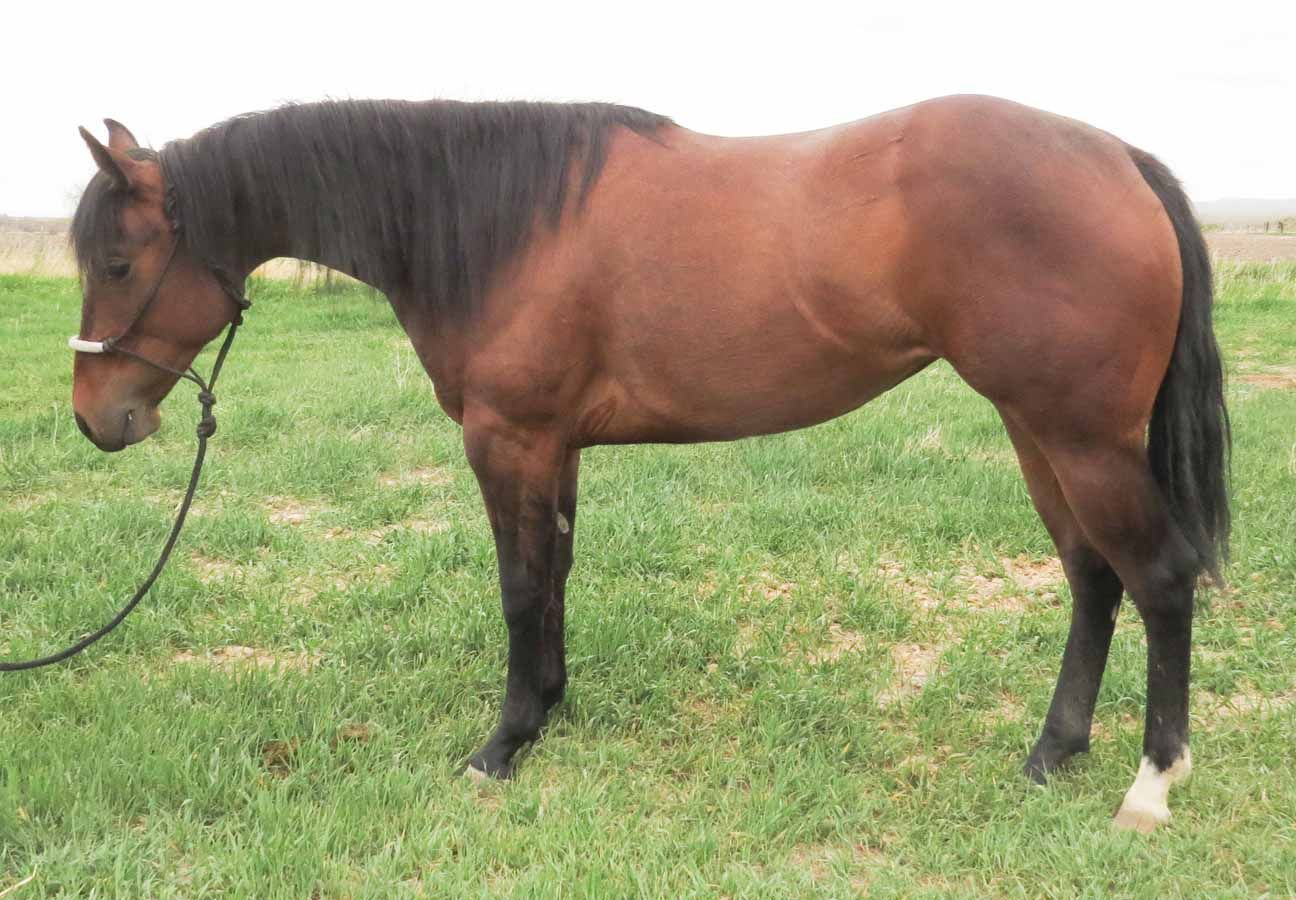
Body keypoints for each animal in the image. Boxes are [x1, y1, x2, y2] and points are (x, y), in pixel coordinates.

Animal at [67, 95, 1229, 832]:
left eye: (119, 262)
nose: (96, 419)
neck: (496, 222)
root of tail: (1116, 158)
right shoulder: (555, 445)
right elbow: (555, 576)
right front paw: (549, 709)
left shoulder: (508, 436)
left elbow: (518, 584)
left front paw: (500, 746)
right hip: (1040, 431)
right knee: (1092, 579)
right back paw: (1053, 752)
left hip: (1079, 437)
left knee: (1159, 579)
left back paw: (1147, 787)